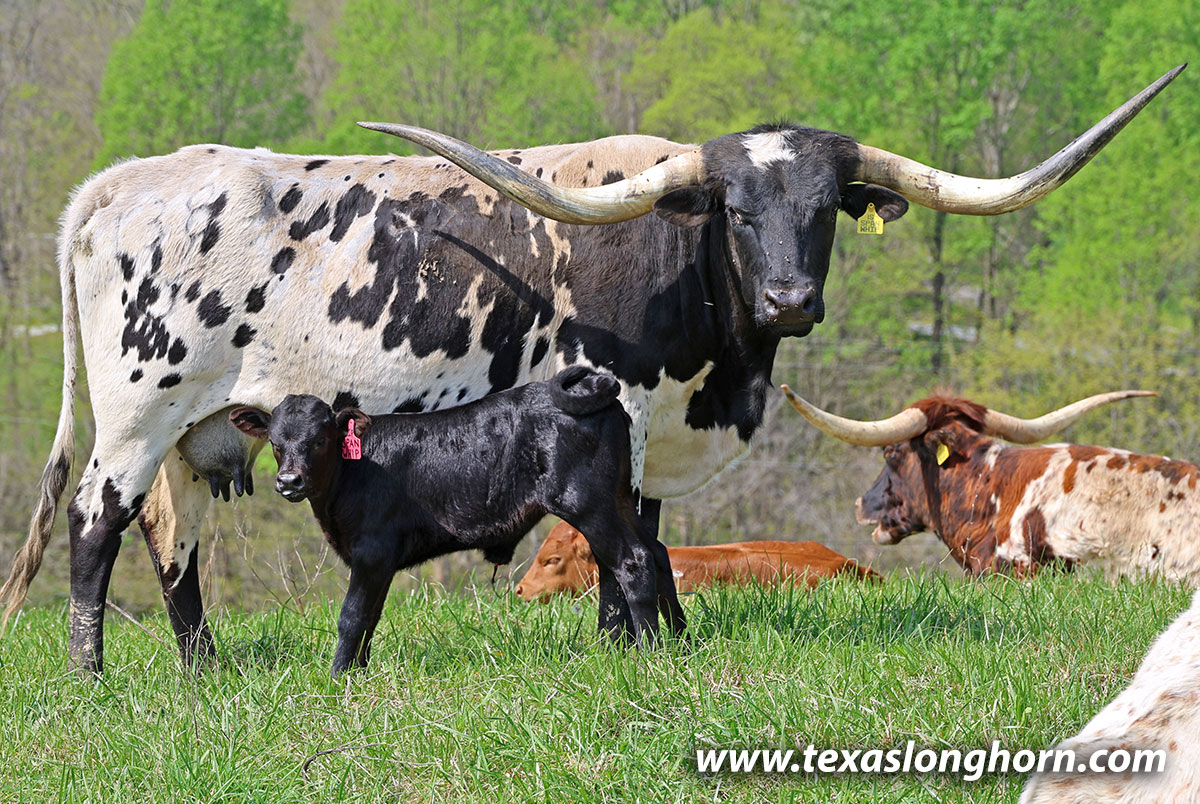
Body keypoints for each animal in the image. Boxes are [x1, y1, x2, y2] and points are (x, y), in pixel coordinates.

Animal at [228, 367, 663, 672]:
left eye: (320, 439)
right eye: (275, 443)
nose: (289, 481)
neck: (349, 475)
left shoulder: (371, 552)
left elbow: (351, 617)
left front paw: (337, 677)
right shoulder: (380, 563)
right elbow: (370, 617)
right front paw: (357, 673)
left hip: (587, 503)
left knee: (633, 562)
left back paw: (653, 655)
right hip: (622, 498)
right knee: (657, 553)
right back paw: (676, 642)